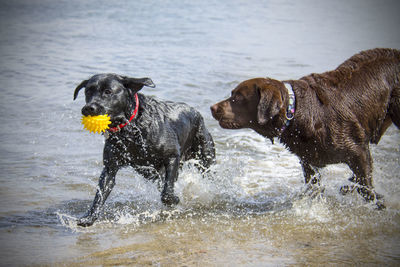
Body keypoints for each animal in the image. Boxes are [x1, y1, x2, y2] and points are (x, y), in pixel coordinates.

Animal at [73, 73, 214, 226]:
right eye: (88, 92)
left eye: (108, 92)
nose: (88, 108)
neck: (130, 128)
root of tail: (197, 113)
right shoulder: (110, 167)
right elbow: (100, 194)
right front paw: (89, 217)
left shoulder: (172, 156)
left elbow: (166, 193)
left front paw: (174, 200)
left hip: (205, 158)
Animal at [211, 48, 398, 207]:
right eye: (232, 94)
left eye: (238, 97)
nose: (212, 108)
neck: (296, 112)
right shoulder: (307, 160)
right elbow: (315, 187)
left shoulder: (359, 150)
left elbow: (365, 186)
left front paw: (376, 202)